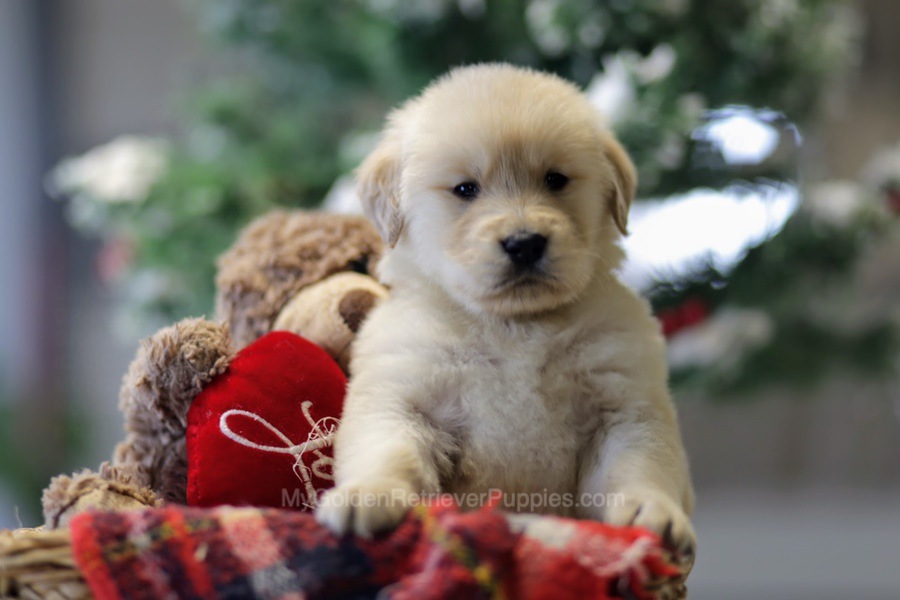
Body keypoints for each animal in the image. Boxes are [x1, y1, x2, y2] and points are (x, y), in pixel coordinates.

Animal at [316, 63, 696, 556]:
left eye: (555, 180)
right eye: (465, 189)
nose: (525, 243)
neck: (514, 327)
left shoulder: (625, 409)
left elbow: (638, 468)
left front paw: (653, 511)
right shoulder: (403, 398)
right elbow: (389, 453)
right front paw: (368, 495)